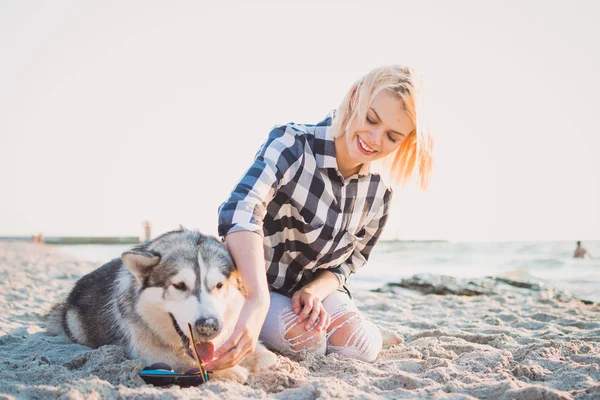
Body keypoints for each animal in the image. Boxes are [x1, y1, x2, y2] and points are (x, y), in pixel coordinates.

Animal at [47, 228, 276, 382]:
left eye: (219, 285)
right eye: (179, 285)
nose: (209, 326)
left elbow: (268, 356)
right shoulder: (147, 352)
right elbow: (189, 361)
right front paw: (231, 370)